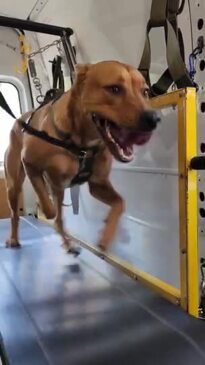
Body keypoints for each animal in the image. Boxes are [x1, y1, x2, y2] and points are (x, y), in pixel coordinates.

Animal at [4, 61, 159, 252]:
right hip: (14, 185)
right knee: (17, 215)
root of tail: (19, 120)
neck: (81, 143)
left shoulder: (98, 184)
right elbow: (49, 209)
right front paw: (44, 208)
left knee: (59, 218)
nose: (154, 119)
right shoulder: (30, 164)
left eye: (145, 92)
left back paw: (68, 244)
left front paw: (106, 236)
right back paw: (14, 239)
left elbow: (120, 203)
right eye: (114, 89)